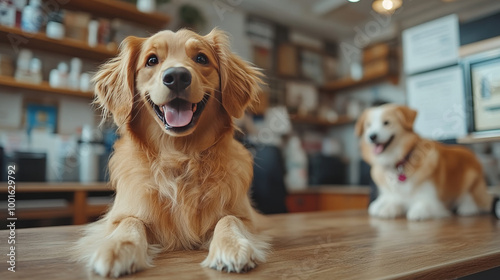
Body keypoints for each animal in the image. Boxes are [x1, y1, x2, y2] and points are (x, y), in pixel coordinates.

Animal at [356, 104, 492, 220]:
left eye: (386, 123)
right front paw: (387, 209)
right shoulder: (392, 194)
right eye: (368, 125)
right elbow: (392, 202)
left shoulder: (432, 199)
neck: (400, 162)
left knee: (471, 198)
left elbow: (421, 207)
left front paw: (414, 212)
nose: (372, 136)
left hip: (471, 179)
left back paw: (467, 209)